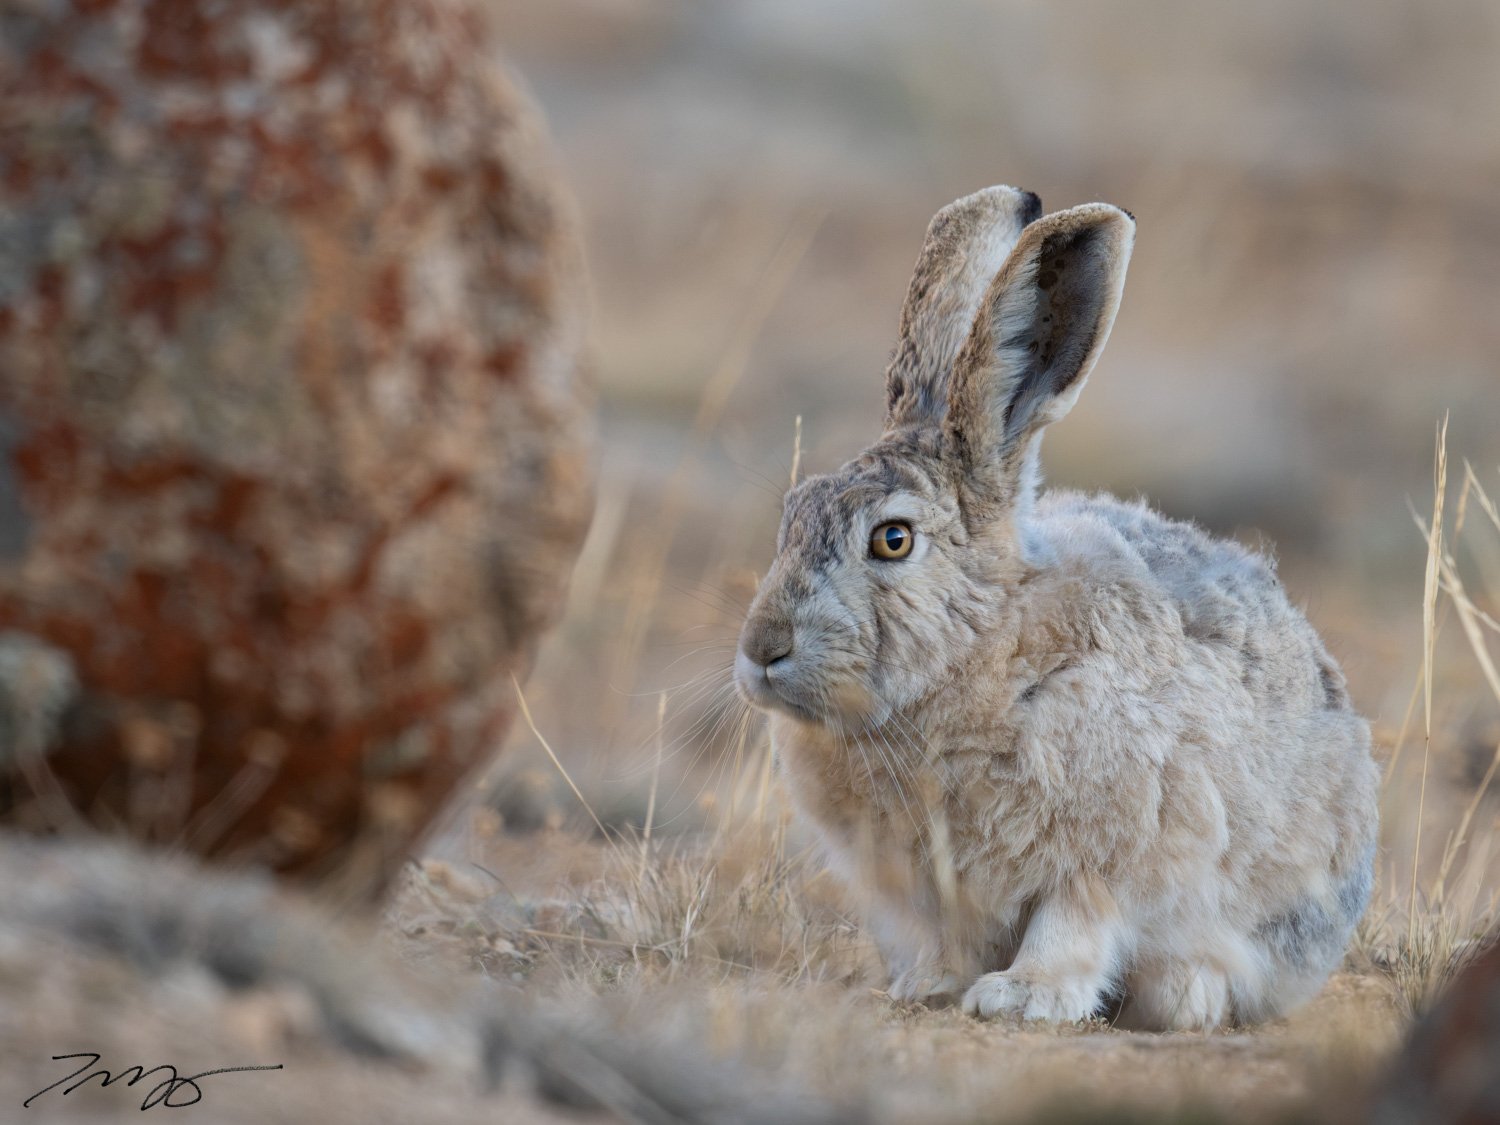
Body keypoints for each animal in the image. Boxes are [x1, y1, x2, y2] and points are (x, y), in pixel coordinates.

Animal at [733, 185, 1379, 1031]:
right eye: (792, 513)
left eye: (893, 539)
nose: (760, 649)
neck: (984, 653)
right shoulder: (924, 892)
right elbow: (944, 940)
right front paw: (929, 985)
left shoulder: (1114, 850)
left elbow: (1071, 921)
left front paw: (1024, 995)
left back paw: (1187, 995)